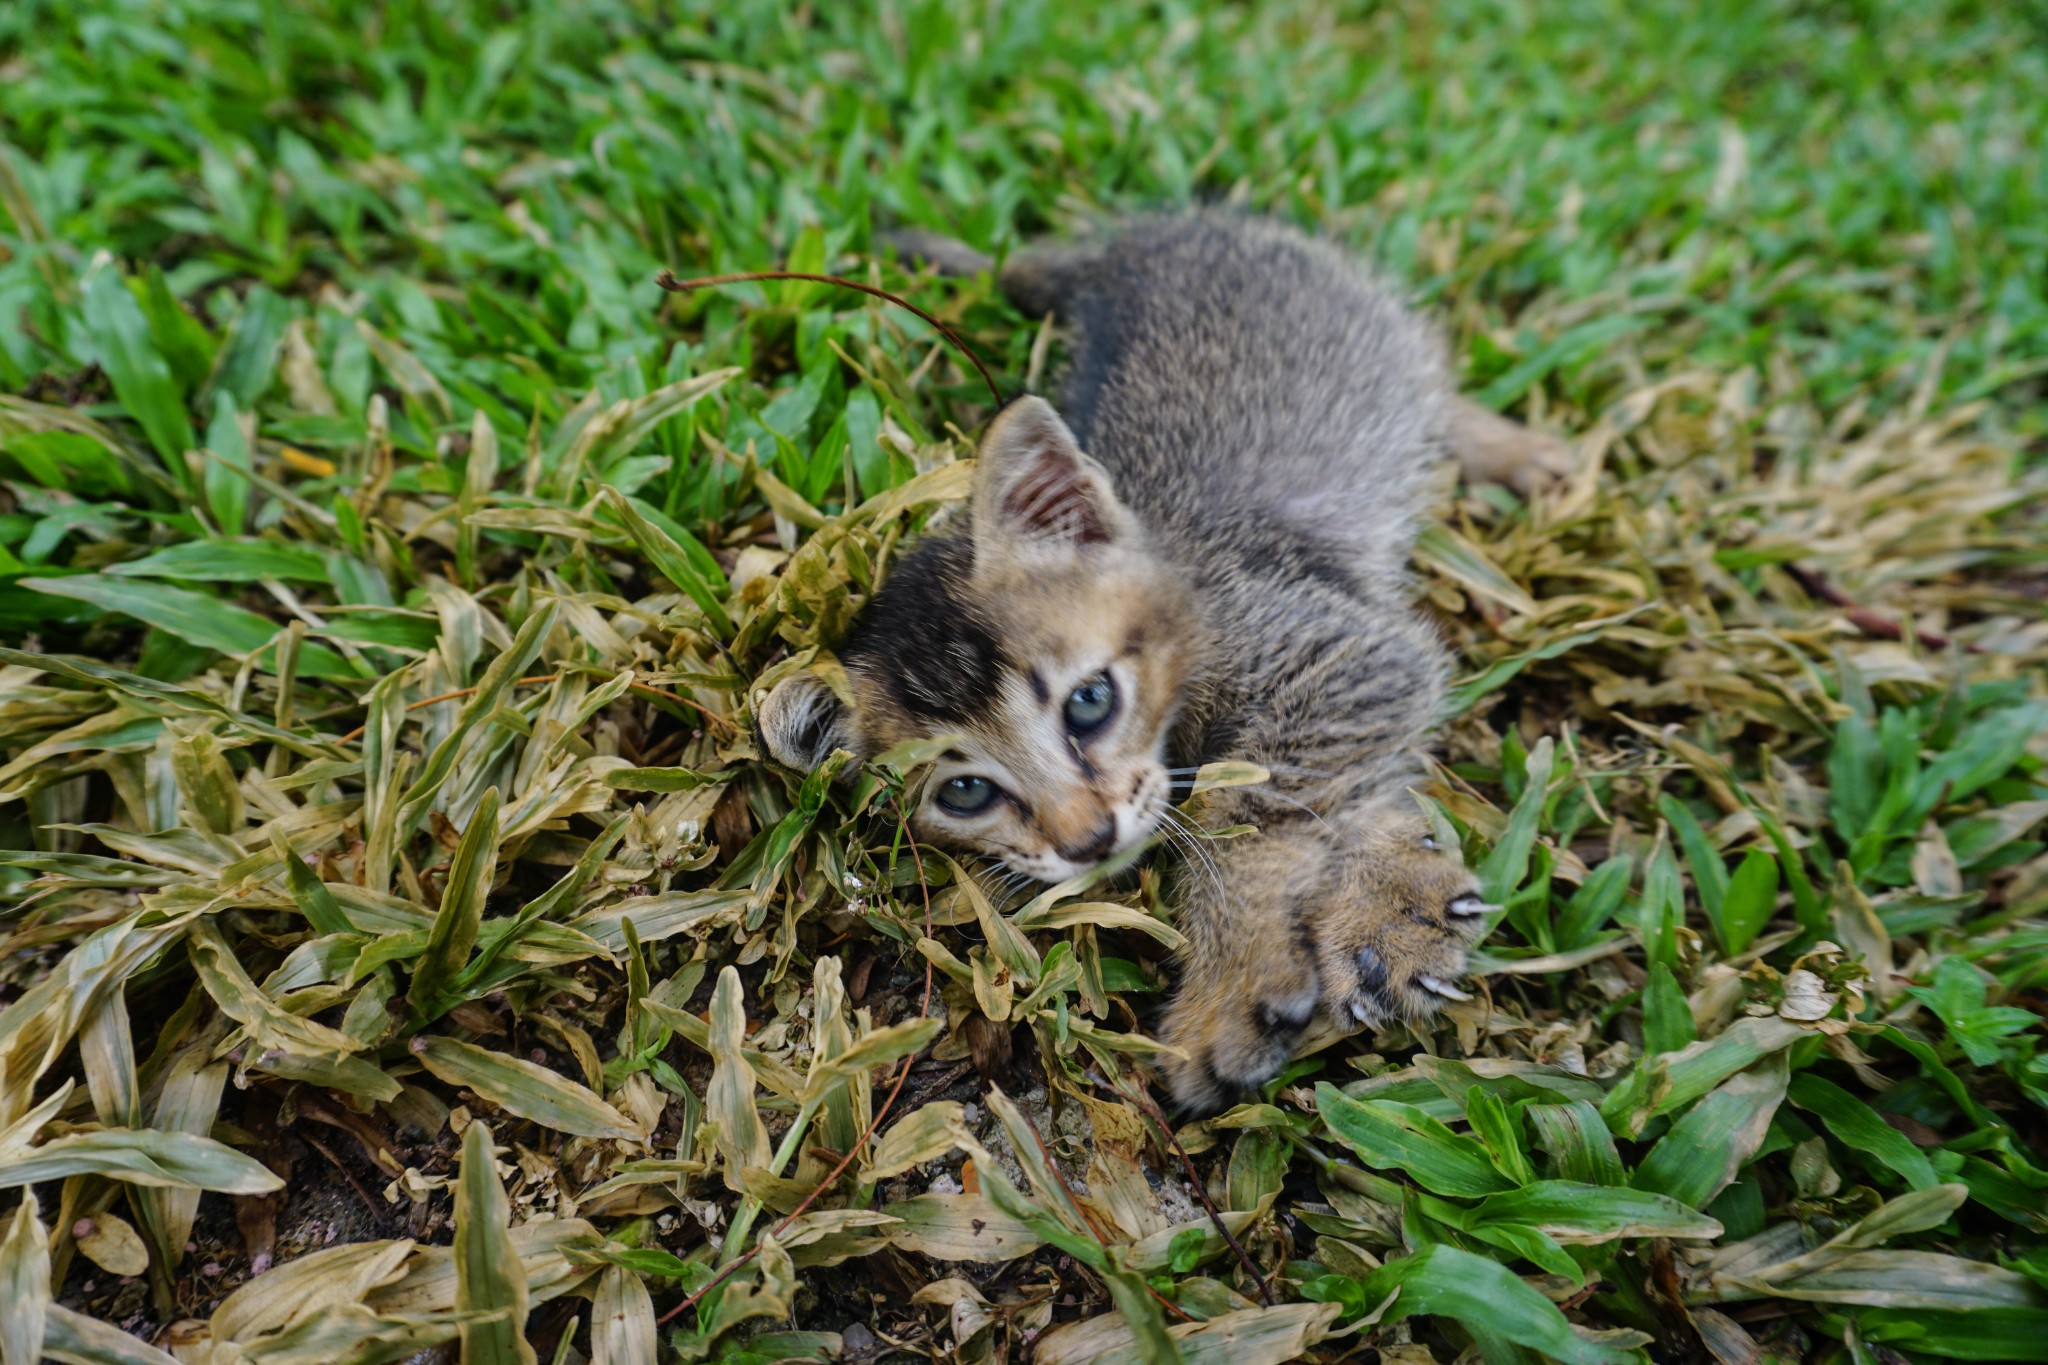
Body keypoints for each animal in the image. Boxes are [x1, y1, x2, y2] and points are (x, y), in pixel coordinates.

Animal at [765, 213, 1564, 1113]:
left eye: (1089, 703)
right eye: (965, 792)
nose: (1087, 841)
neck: (1182, 585)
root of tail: (1133, 240)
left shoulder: (1344, 650)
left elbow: (1247, 802)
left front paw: (1242, 975)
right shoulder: (1353, 664)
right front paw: (1389, 901)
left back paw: (1515, 452)